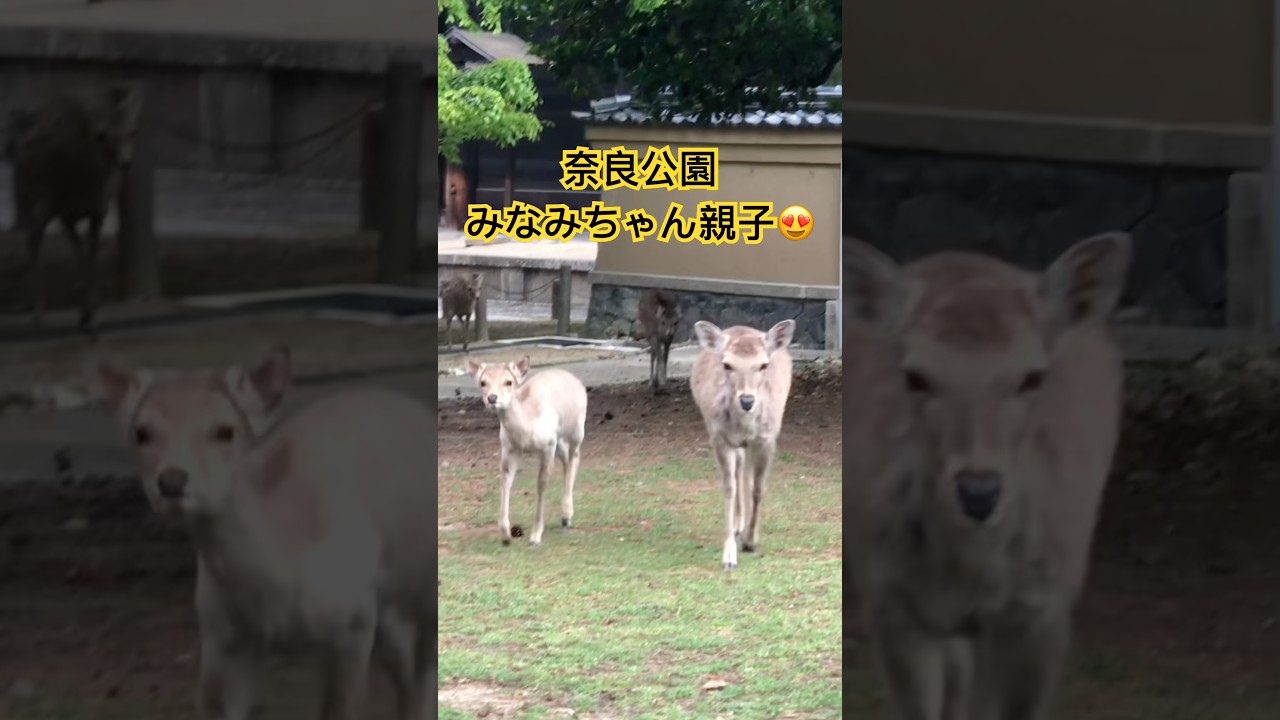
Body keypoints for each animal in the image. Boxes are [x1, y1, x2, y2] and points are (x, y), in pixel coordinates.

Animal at [7, 85, 144, 331]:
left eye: (133, 132)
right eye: (102, 134)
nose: (125, 162)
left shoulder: (99, 211)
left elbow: (91, 253)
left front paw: (90, 315)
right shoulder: (62, 211)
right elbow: (79, 251)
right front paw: (86, 313)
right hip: (35, 199)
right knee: (32, 242)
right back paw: (36, 313)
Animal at [85, 346, 435, 720]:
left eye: (225, 430)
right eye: (142, 432)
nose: (172, 481)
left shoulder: (352, 623)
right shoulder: (222, 634)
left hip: (419, 586)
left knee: (422, 665)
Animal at [466, 356, 587, 546]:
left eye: (508, 381)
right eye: (483, 382)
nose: (492, 398)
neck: (525, 431)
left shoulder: (547, 445)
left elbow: (542, 483)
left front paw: (535, 536)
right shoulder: (509, 448)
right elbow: (505, 480)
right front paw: (505, 534)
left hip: (576, 429)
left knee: (574, 456)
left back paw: (566, 516)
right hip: (559, 440)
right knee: (566, 460)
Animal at [689, 318, 795, 570]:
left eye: (763, 365)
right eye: (727, 365)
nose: (747, 400)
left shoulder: (767, 439)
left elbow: (758, 489)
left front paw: (751, 541)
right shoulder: (719, 438)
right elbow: (729, 488)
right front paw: (729, 556)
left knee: (746, 474)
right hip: (734, 443)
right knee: (739, 472)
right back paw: (738, 525)